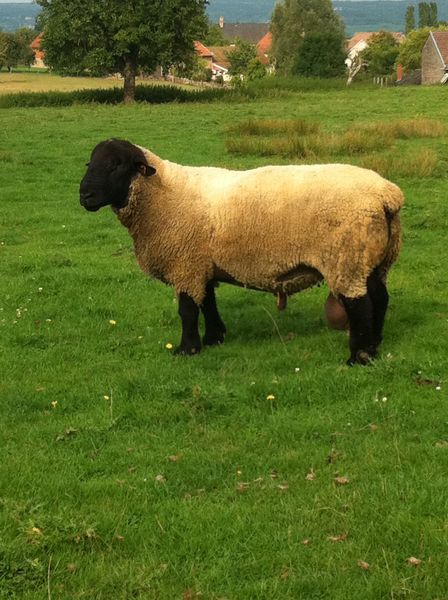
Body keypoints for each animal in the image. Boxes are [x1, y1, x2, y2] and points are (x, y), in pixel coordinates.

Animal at [79, 139, 404, 365]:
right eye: (90, 163)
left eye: (116, 164)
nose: (85, 195)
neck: (161, 195)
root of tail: (387, 195)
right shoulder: (202, 264)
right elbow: (207, 303)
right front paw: (214, 338)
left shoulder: (186, 265)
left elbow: (187, 310)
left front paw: (187, 349)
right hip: (373, 259)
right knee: (380, 298)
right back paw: (375, 344)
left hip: (346, 258)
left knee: (360, 305)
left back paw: (358, 358)